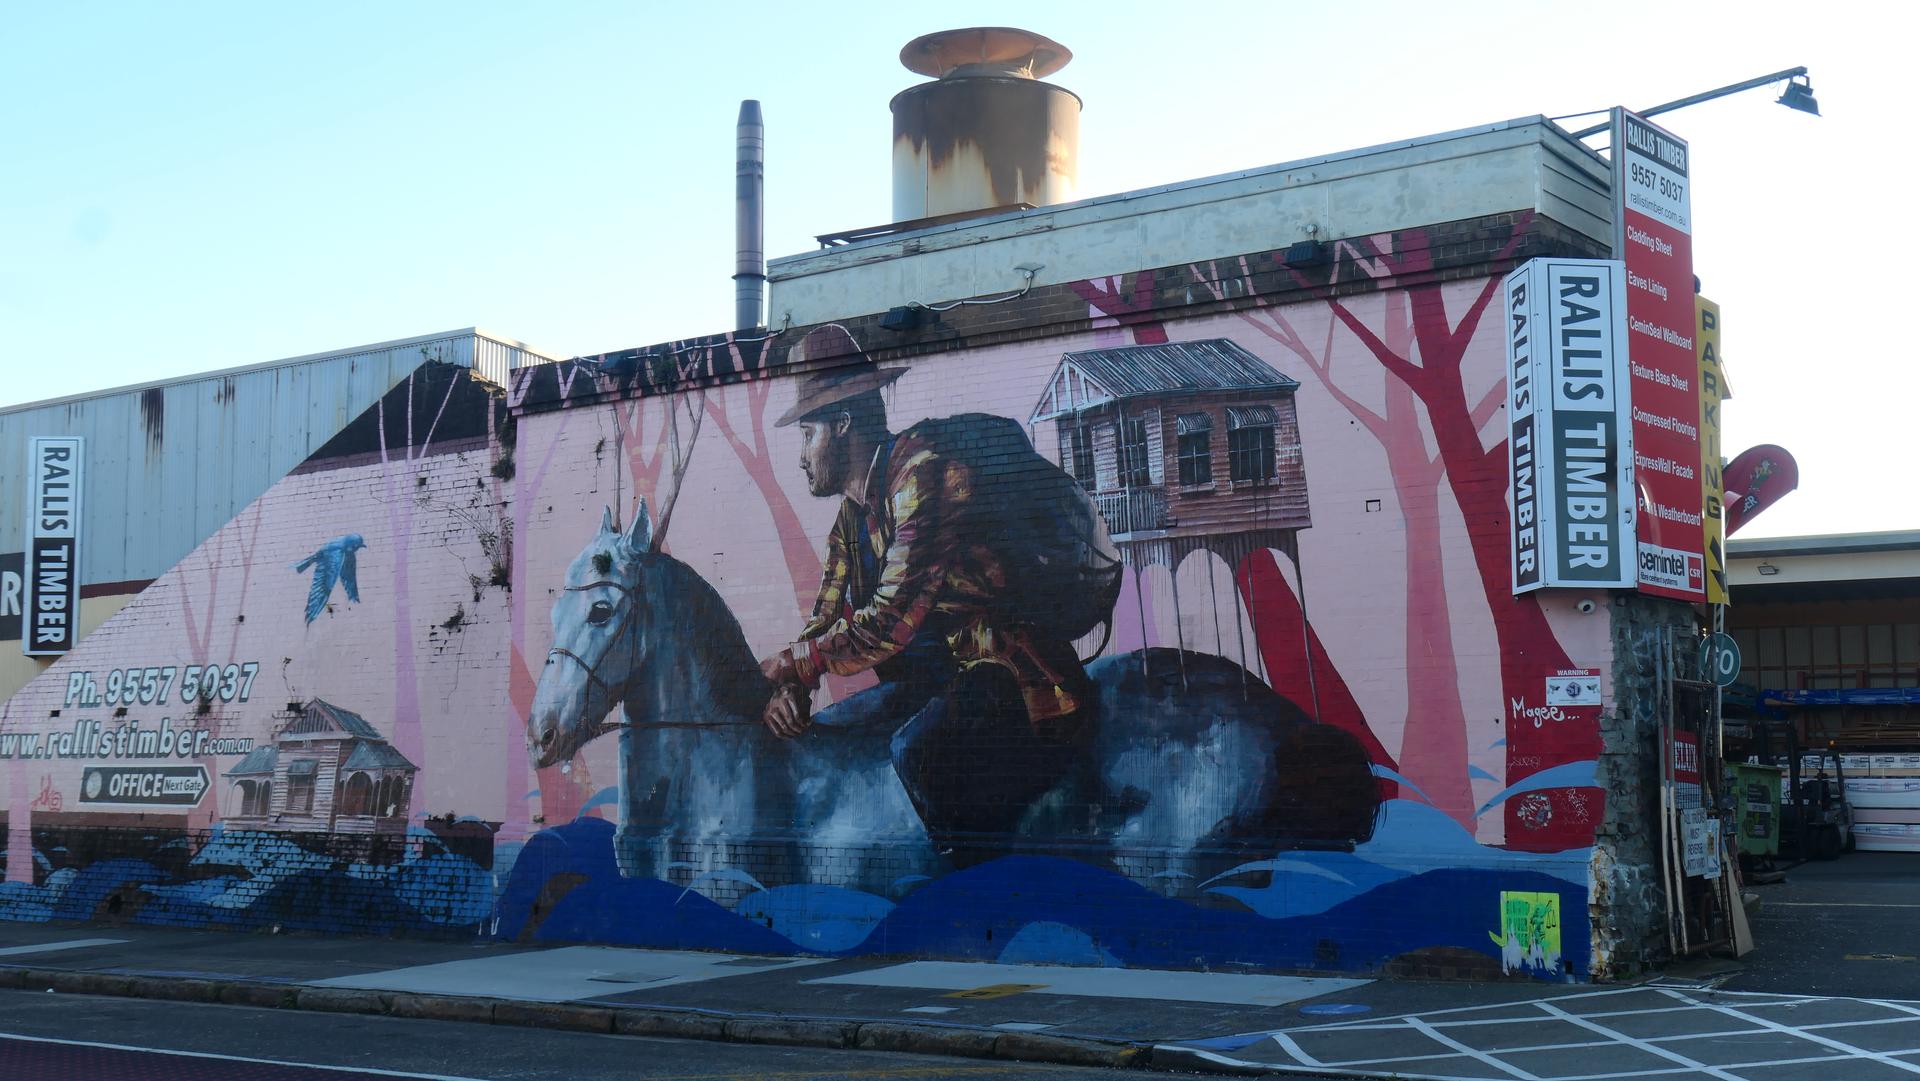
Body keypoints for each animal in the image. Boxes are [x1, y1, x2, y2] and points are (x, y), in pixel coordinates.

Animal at [527, 500, 1379, 902]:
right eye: (553, 604)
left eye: (601, 608)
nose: (540, 732)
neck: (719, 753)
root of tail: (1288, 723)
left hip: (1178, 865)